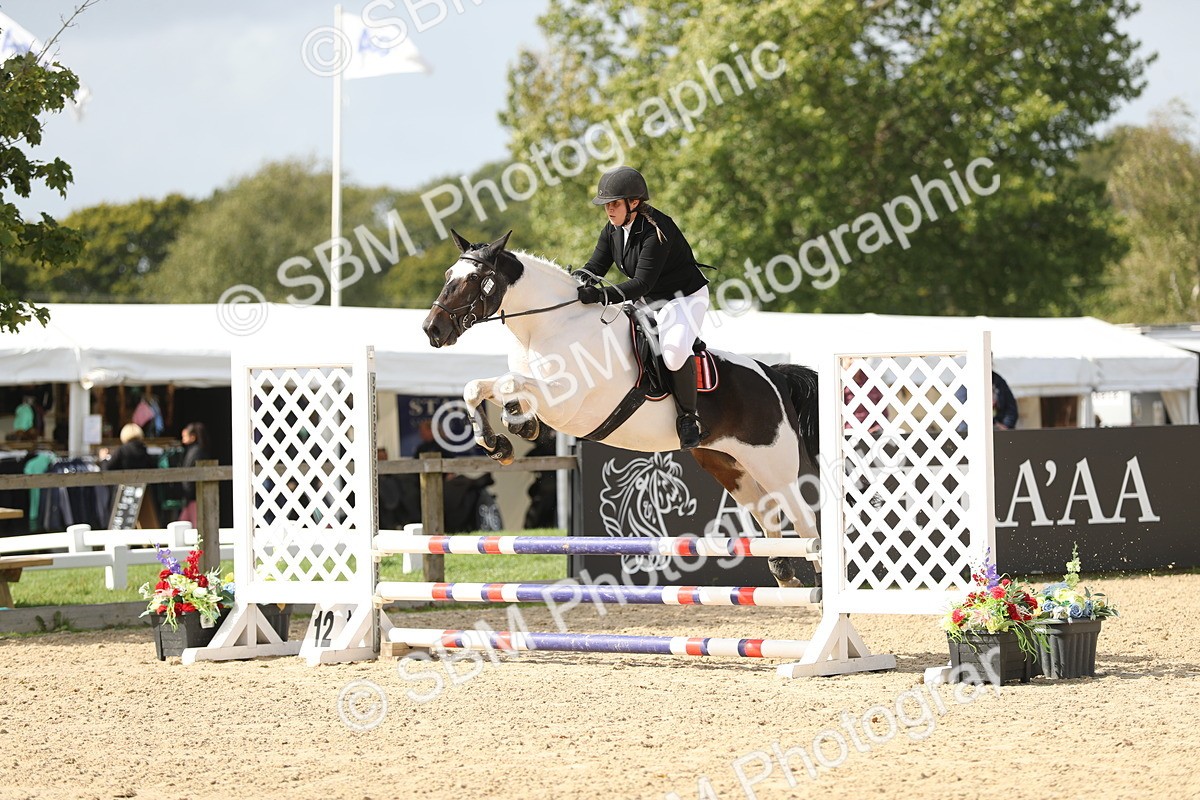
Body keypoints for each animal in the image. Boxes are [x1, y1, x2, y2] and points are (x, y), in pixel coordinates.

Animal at [422, 231, 821, 588]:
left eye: (474, 279)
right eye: (447, 275)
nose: (432, 330)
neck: (548, 325)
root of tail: (774, 376)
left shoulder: (564, 403)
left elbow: (507, 384)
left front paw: (518, 425)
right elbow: (478, 387)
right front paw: (499, 442)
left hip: (775, 463)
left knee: (805, 523)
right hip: (727, 465)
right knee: (770, 516)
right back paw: (785, 577)